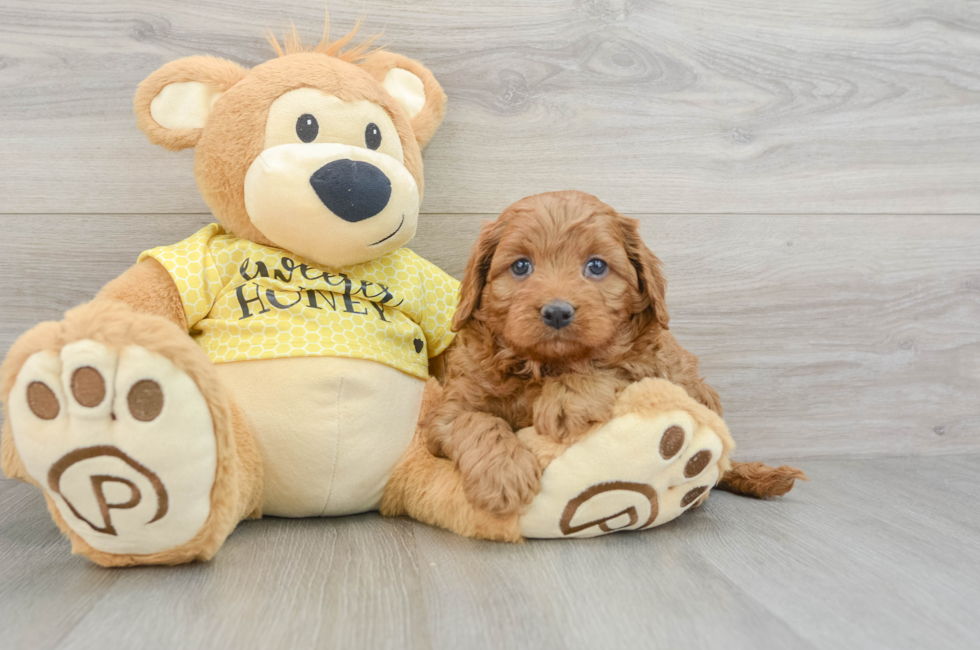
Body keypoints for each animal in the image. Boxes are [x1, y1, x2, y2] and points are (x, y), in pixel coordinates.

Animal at [426, 190, 804, 512]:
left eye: (596, 266)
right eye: (520, 266)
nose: (557, 312)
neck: (545, 366)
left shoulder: (657, 367)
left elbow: (613, 366)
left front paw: (566, 399)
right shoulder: (450, 411)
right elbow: (475, 421)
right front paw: (503, 475)